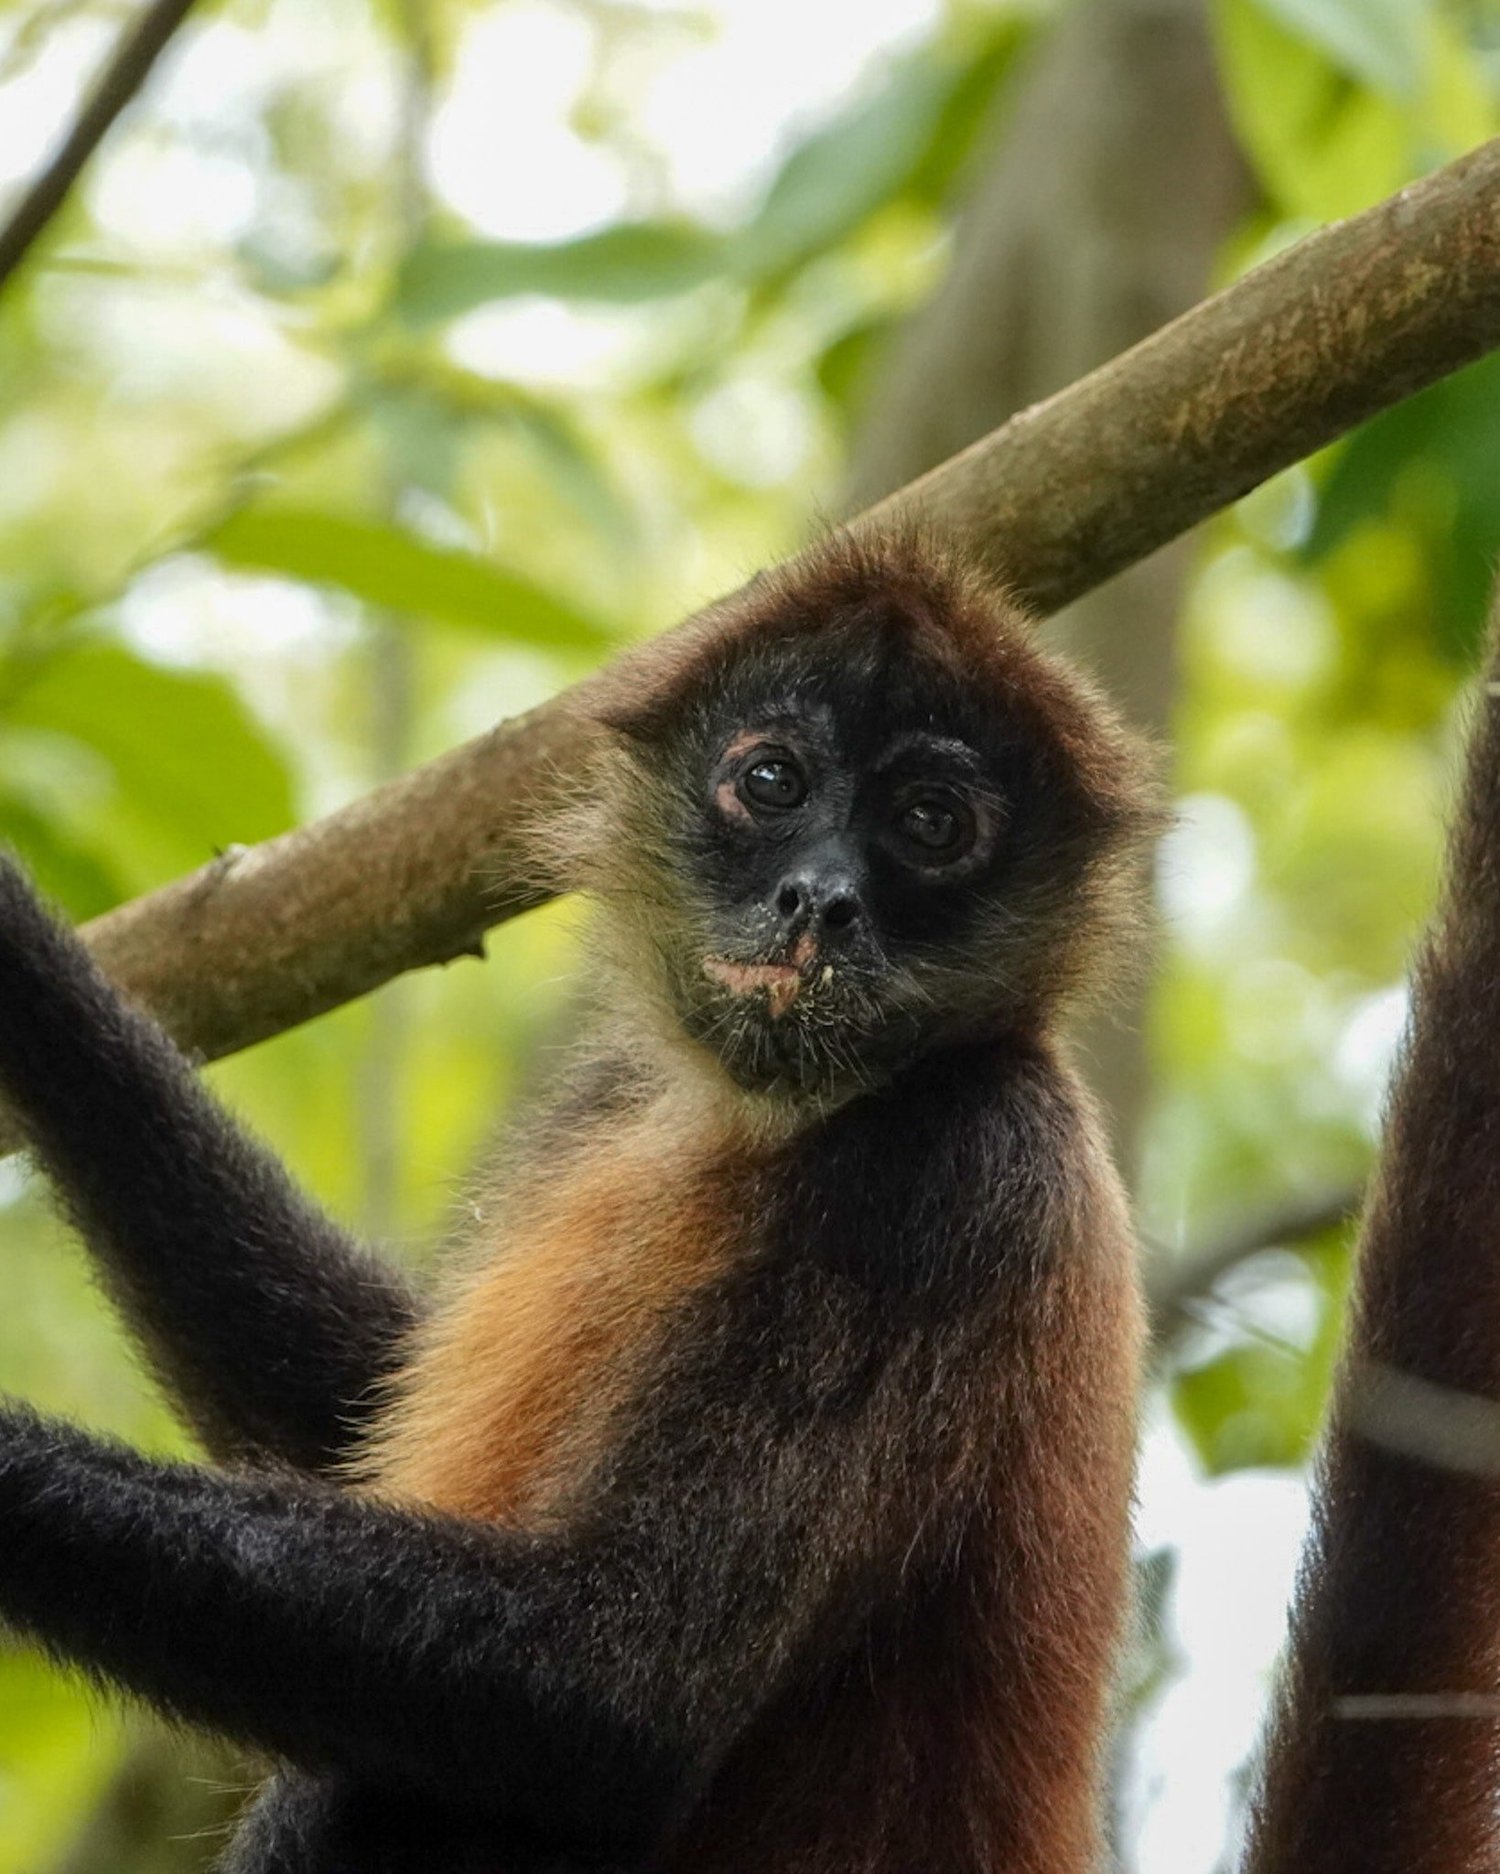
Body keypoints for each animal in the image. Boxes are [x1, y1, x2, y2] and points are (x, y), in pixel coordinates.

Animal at [0, 530, 1160, 1874]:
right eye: (772, 781)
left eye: (930, 824)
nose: (819, 899)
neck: (776, 1111)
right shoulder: (616, 1086)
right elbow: (344, 1400)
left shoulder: (962, 1166)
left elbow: (613, 1695)